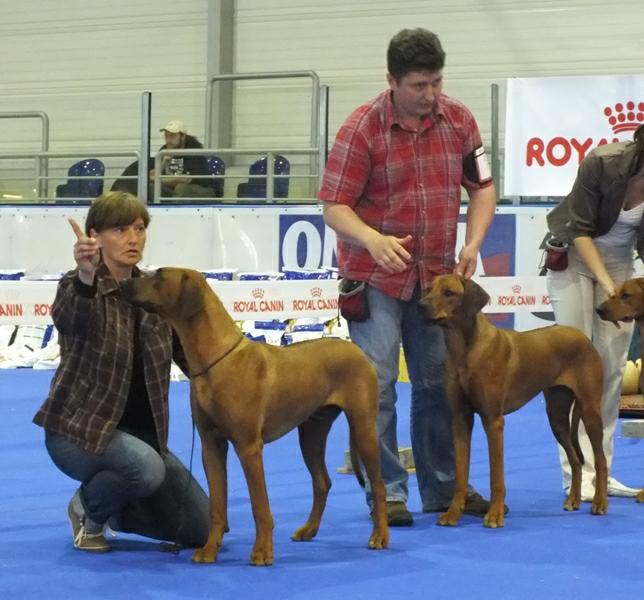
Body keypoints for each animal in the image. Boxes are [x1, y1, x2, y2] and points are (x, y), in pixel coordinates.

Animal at [121, 267, 389, 565]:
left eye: (158, 275)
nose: (123, 282)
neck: (216, 359)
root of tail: (356, 349)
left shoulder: (248, 447)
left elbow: (260, 506)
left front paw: (262, 551)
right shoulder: (211, 446)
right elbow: (217, 507)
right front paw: (210, 550)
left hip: (363, 428)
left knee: (379, 485)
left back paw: (380, 536)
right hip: (311, 432)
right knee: (322, 482)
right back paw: (309, 529)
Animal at [418, 274, 608, 527]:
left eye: (449, 293)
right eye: (429, 289)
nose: (420, 306)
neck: (463, 350)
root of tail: (583, 336)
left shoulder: (493, 420)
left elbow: (496, 476)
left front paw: (495, 515)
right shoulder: (459, 419)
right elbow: (460, 473)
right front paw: (452, 514)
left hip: (590, 411)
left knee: (601, 460)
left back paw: (600, 503)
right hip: (556, 415)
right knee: (575, 459)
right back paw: (573, 500)